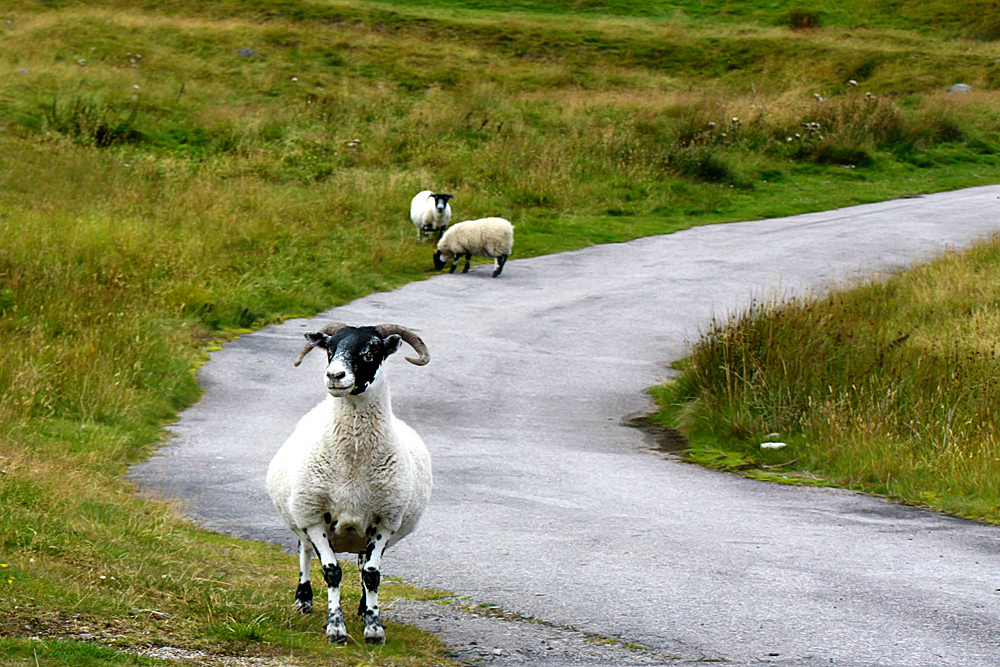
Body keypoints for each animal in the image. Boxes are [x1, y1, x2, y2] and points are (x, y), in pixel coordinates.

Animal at [268, 324, 432, 648]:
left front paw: (374, 628)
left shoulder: (384, 521)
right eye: (330, 349)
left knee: (362, 564)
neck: (353, 465)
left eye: (372, 350)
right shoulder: (314, 518)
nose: (334, 376)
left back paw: (362, 607)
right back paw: (303, 601)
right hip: (300, 515)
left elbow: (372, 575)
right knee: (305, 551)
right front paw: (335, 630)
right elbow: (332, 572)